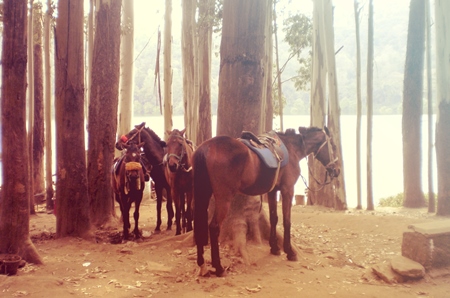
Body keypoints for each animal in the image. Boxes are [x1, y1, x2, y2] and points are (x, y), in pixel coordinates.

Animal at [192, 126, 340, 278]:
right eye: (334, 146)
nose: (337, 170)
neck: (292, 149)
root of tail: (206, 148)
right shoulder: (287, 190)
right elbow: (287, 221)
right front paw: (290, 252)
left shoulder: (273, 191)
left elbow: (274, 218)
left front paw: (274, 248)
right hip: (224, 198)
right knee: (214, 227)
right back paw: (219, 267)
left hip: (202, 194)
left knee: (199, 225)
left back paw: (202, 265)